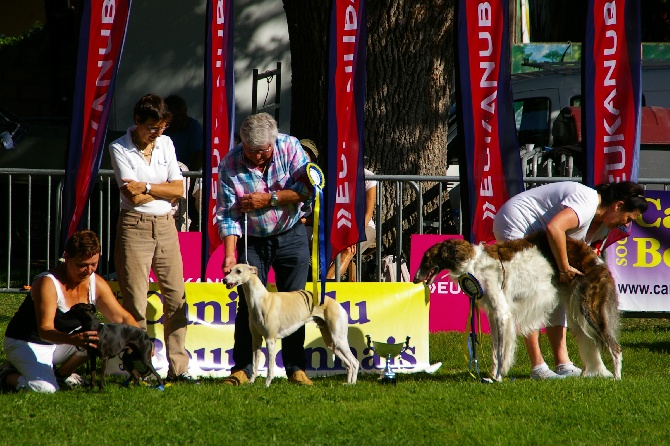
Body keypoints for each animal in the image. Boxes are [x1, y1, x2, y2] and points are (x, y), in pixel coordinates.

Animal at [224, 264, 362, 386]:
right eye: (229, 270)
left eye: (238, 271)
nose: (224, 280)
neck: (260, 299)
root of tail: (338, 304)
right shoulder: (256, 339)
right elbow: (255, 365)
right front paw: (251, 383)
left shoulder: (270, 340)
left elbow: (270, 367)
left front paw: (267, 385)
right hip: (331, 343)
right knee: (349, 364)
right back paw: (347, 383)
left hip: (339, 339)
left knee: (355, 362)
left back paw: (352, 384)